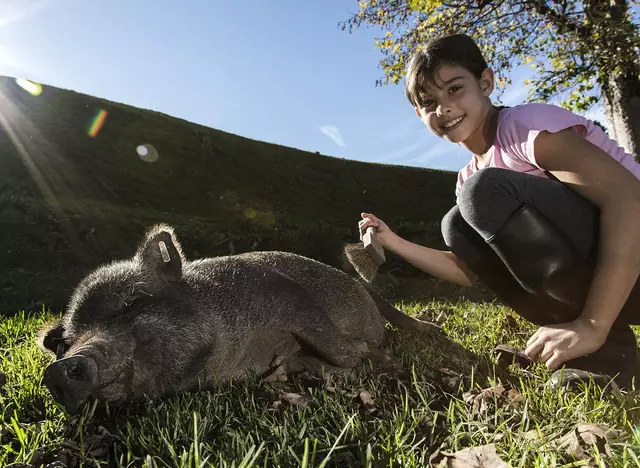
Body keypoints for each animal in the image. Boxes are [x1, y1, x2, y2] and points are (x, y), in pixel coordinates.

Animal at [37, 223, 438, 414]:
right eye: (67, 342)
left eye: (133, 301)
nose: (57, 370)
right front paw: (288, 371)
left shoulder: (288, 297)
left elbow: (343, 349)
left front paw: (375, 356)